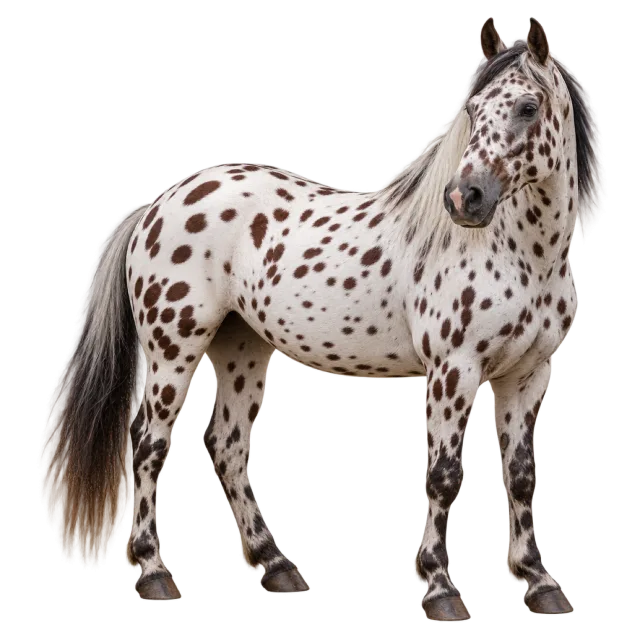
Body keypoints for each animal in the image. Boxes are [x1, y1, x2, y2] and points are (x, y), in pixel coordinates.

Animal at [38, 17, 605, 620]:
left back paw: (277, 567)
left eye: (528, 107)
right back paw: (153, 574)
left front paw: (539, 583)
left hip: (242, 348)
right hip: (173, 350)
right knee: (149, 445)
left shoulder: (528, 374)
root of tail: (158, 206)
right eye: (473, 109)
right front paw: (440, 589)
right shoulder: (453, 372)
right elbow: (443, 475)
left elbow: (519, 476)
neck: (520, 254)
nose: (464, 198)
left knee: (228, 446)